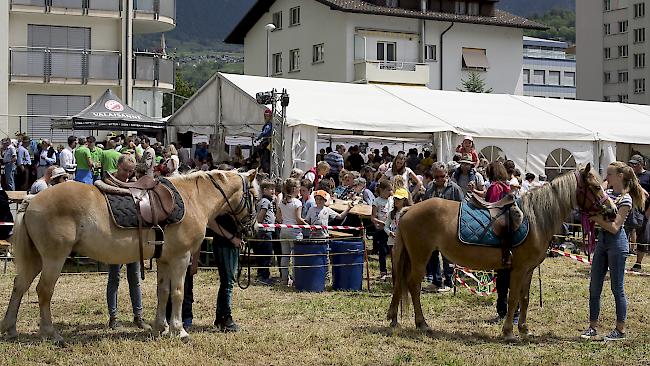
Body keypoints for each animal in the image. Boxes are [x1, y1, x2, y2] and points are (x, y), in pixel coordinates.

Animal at [0, 169, 258, 344]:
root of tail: (33, 199)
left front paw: (159, 328)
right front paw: (179, 330)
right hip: (54, 258)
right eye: (254, 196)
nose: (252, 228)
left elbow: (163, 292)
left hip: (36, 259)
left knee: (19, 286)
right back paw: (50, 333)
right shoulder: (181, 258)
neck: (192, 198)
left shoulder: (164, 259)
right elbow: (177, 292)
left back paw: (10, 328)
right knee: (43, 291)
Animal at [388, 164, 616, 342]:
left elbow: (525, 298)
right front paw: (508, 332)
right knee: (413, 285)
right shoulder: (518, 269)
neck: (535, 219)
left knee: (400, 284)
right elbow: (513, 298)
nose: (612, 211)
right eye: (596, 187)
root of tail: (409, 210)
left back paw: (394, 319)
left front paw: (524, 329)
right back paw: (422, 323)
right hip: (420, 257)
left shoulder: (529, 270)